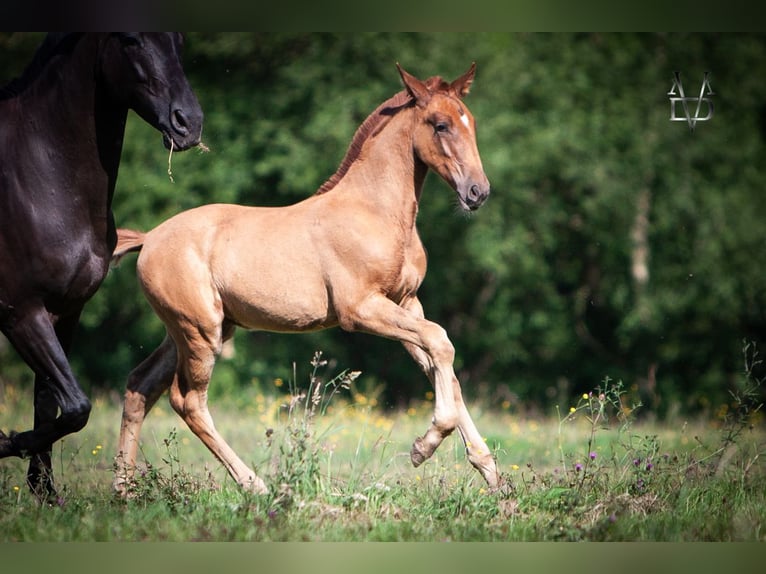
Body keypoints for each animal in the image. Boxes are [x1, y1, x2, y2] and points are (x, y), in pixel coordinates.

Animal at [0, 33, 204, 500]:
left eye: (178, 40)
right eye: (131, 40)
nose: (189, 123)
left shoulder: (64, 311)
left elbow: (52, 402)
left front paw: (44, 494)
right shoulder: (20, 311)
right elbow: (76, 405)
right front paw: (8, 443)